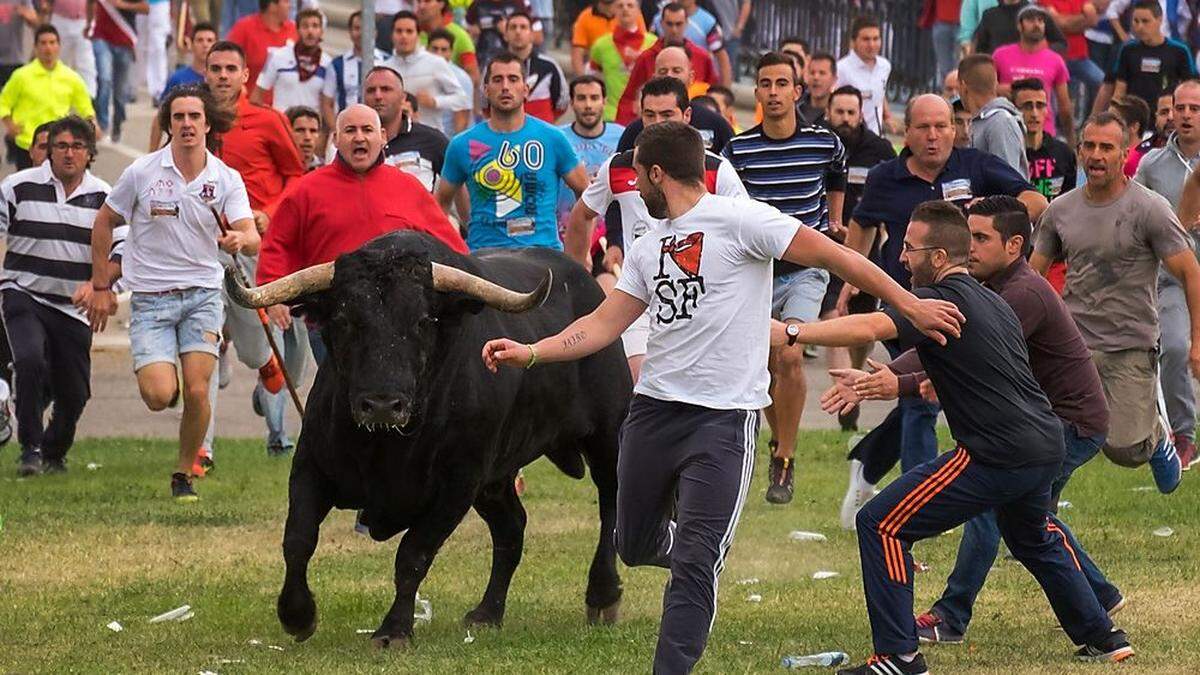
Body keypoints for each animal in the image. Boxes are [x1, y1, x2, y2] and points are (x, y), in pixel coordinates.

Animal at [228, 233, 633, 648]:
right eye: (343, 320)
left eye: (423, 321)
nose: (382, 404)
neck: (385, 448)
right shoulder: (311, 467)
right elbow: (298, 539)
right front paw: (297, 614)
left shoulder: (457, 486)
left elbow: (413, 554)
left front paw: (393, 630)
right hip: (495, 479)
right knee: (511, 527)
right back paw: (487, 613)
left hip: (607, 437)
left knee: (610, 504)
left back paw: (602, 594)